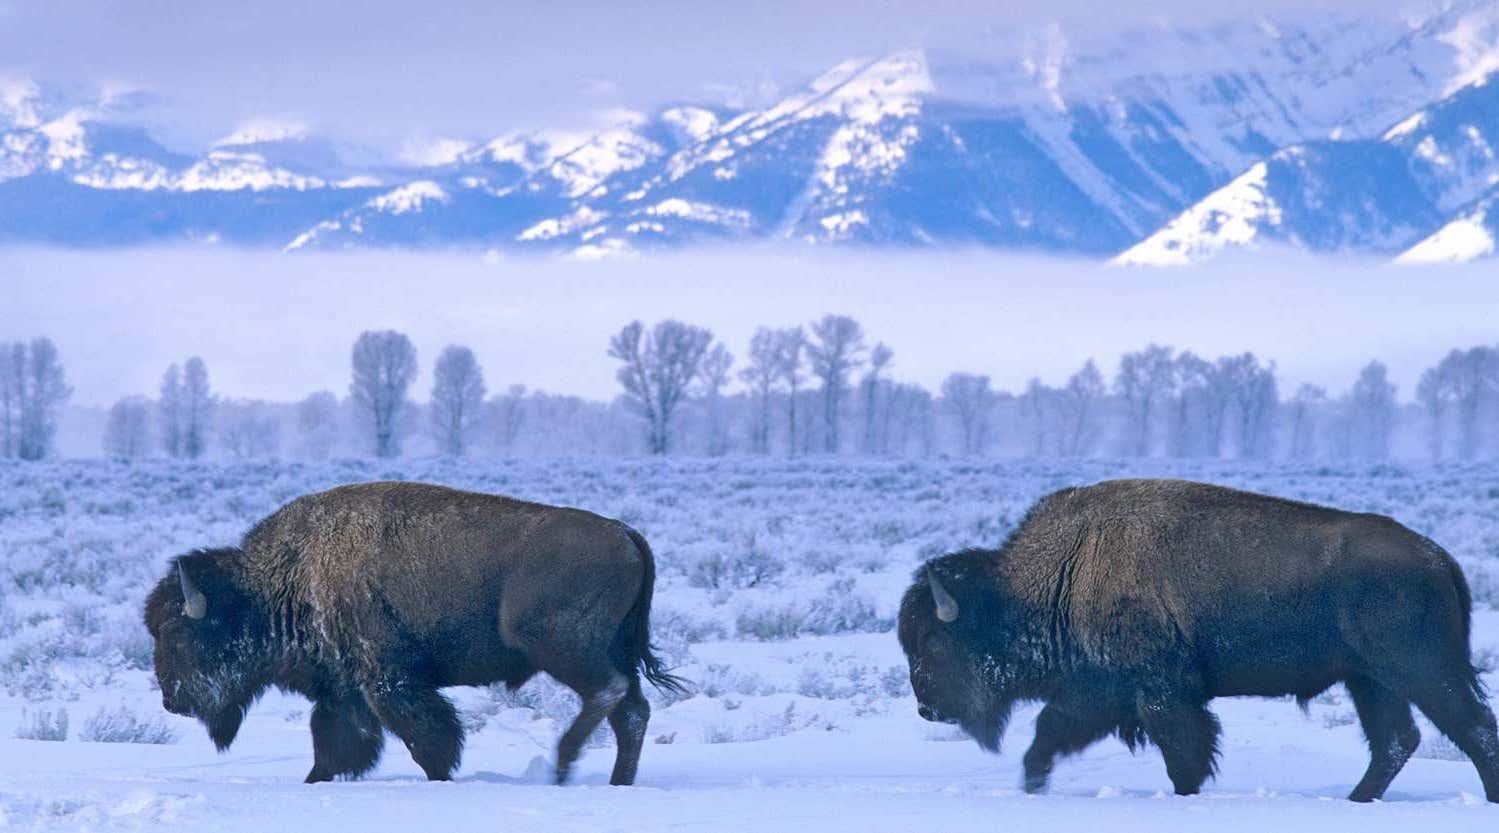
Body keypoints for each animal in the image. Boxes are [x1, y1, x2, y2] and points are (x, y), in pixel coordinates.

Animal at [145, 481, 685, 785]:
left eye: (180, 632)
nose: (172, 700)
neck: (285, 578)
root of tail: (625, 533)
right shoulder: (343, 690)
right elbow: (334, 748)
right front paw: (315, 781)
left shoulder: (389, 682)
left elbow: (426, 740)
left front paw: (441, 779)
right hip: (606, 648)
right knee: (631, 711)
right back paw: (616, 782)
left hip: (561, 647)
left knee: (609, 692)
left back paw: (562, 764)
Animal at [899, 478, 1499, 802]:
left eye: (934, 642)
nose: (927, 708)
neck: (1066, 568)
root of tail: (1437, 556)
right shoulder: (1098, 690)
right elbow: (1049, 733)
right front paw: (1032, 785)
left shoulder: (1159, 693)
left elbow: (1183, 754)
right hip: (1370, 681)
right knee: (1396, 740)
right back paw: (1354, 801)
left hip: (1422, 670)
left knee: (1471, 728)